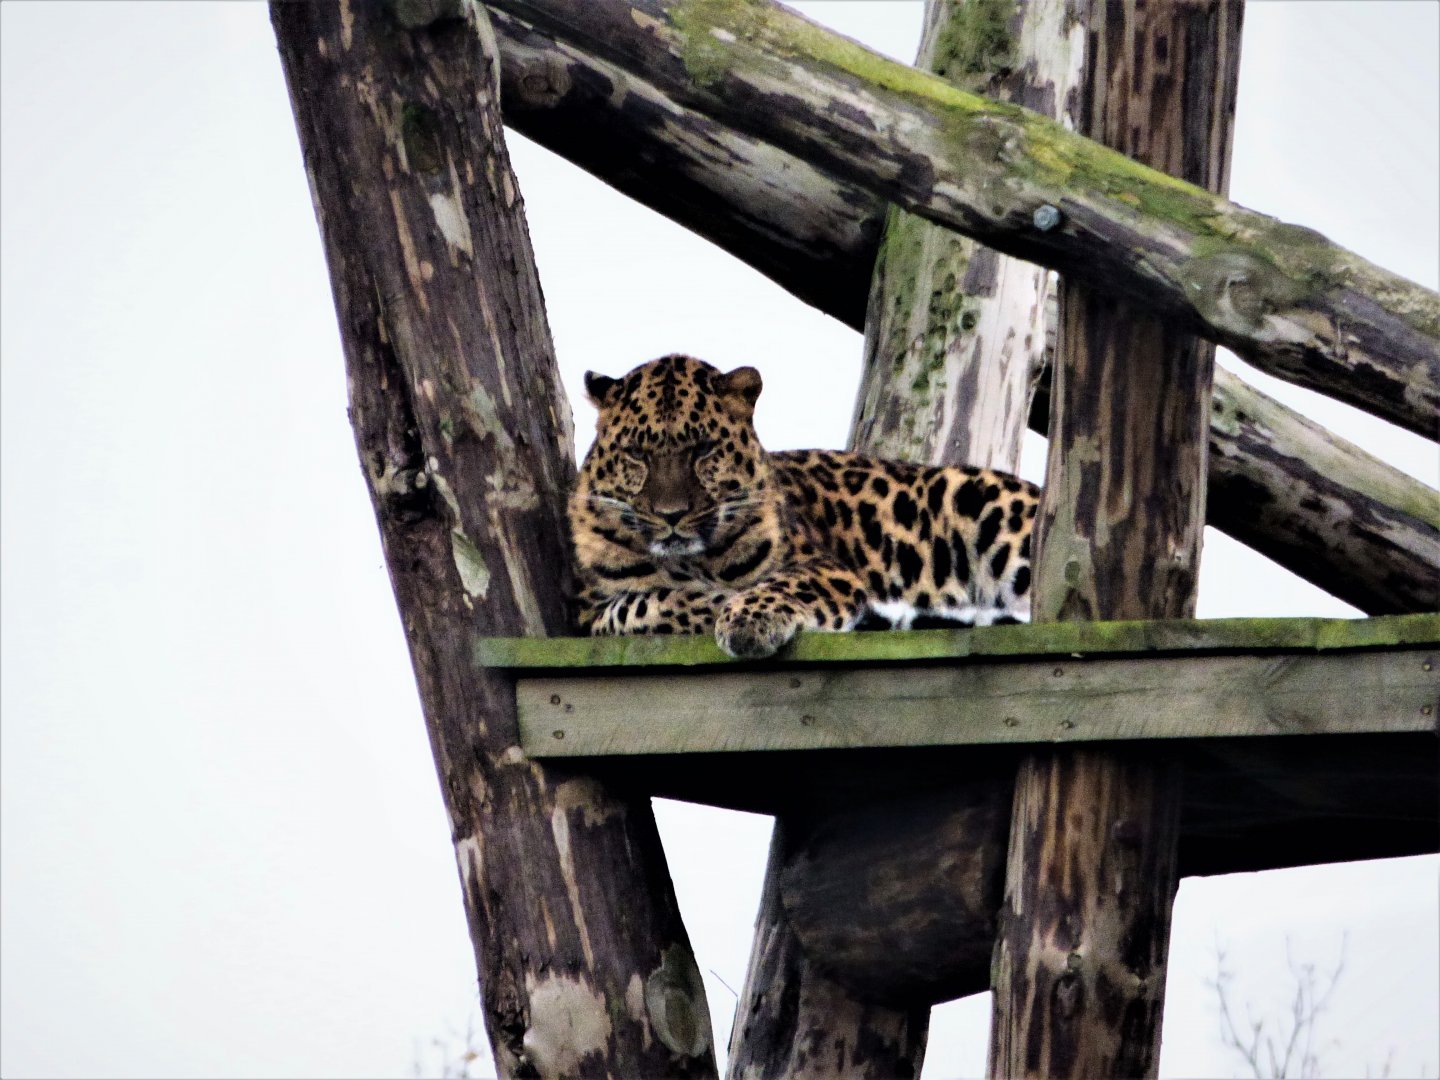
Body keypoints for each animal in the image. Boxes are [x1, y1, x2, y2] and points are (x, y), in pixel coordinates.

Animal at [569, 354, 1039, 659]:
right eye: (636, 454)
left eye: (702, 450)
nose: (671, 515)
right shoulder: (586, 612)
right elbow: (635, 607)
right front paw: (714, 603)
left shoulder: (826, 568)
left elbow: (779, 585)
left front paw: (745, 620)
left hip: (976, 497)